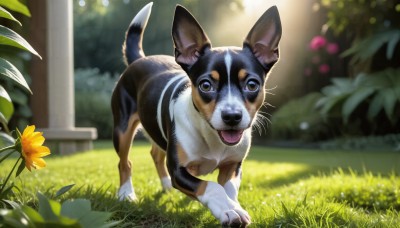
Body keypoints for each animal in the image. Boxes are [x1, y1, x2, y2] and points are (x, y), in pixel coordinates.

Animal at [111, 2, 282, 226]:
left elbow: (228, 189)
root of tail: (139, 60)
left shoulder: (233, 166)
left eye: (252, 84)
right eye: (206, 85)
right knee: (125, 162)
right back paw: (126, 193)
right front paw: (228, 209)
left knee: (156, 153)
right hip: (122, 131)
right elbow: (211, 187)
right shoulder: (179, 171)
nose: (232, 116)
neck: (212, 137)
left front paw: (233, 206)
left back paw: (166, 186)